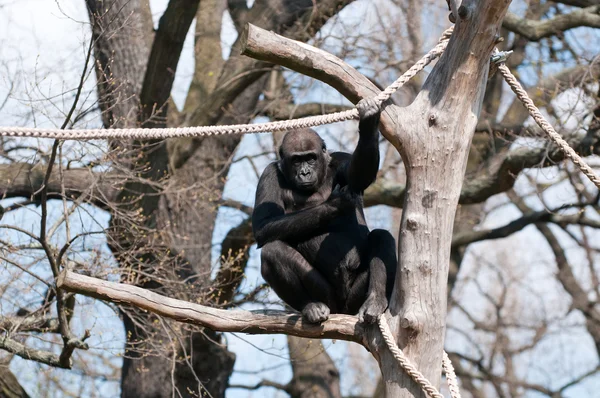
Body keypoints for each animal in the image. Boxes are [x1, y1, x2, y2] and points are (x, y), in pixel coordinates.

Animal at [251, 98, 396, 324]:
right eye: (296, 160)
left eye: (310, 158)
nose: (304, 172)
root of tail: (343, 310)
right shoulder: (269, 174)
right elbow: (263, 225)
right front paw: (335, 204)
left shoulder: (339, 159)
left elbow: (358, 175)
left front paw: (369, 122)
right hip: (328, 298)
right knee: (272, 251)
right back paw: (310, 306)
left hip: (355, 298)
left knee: (382, 237)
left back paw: (375, 301)